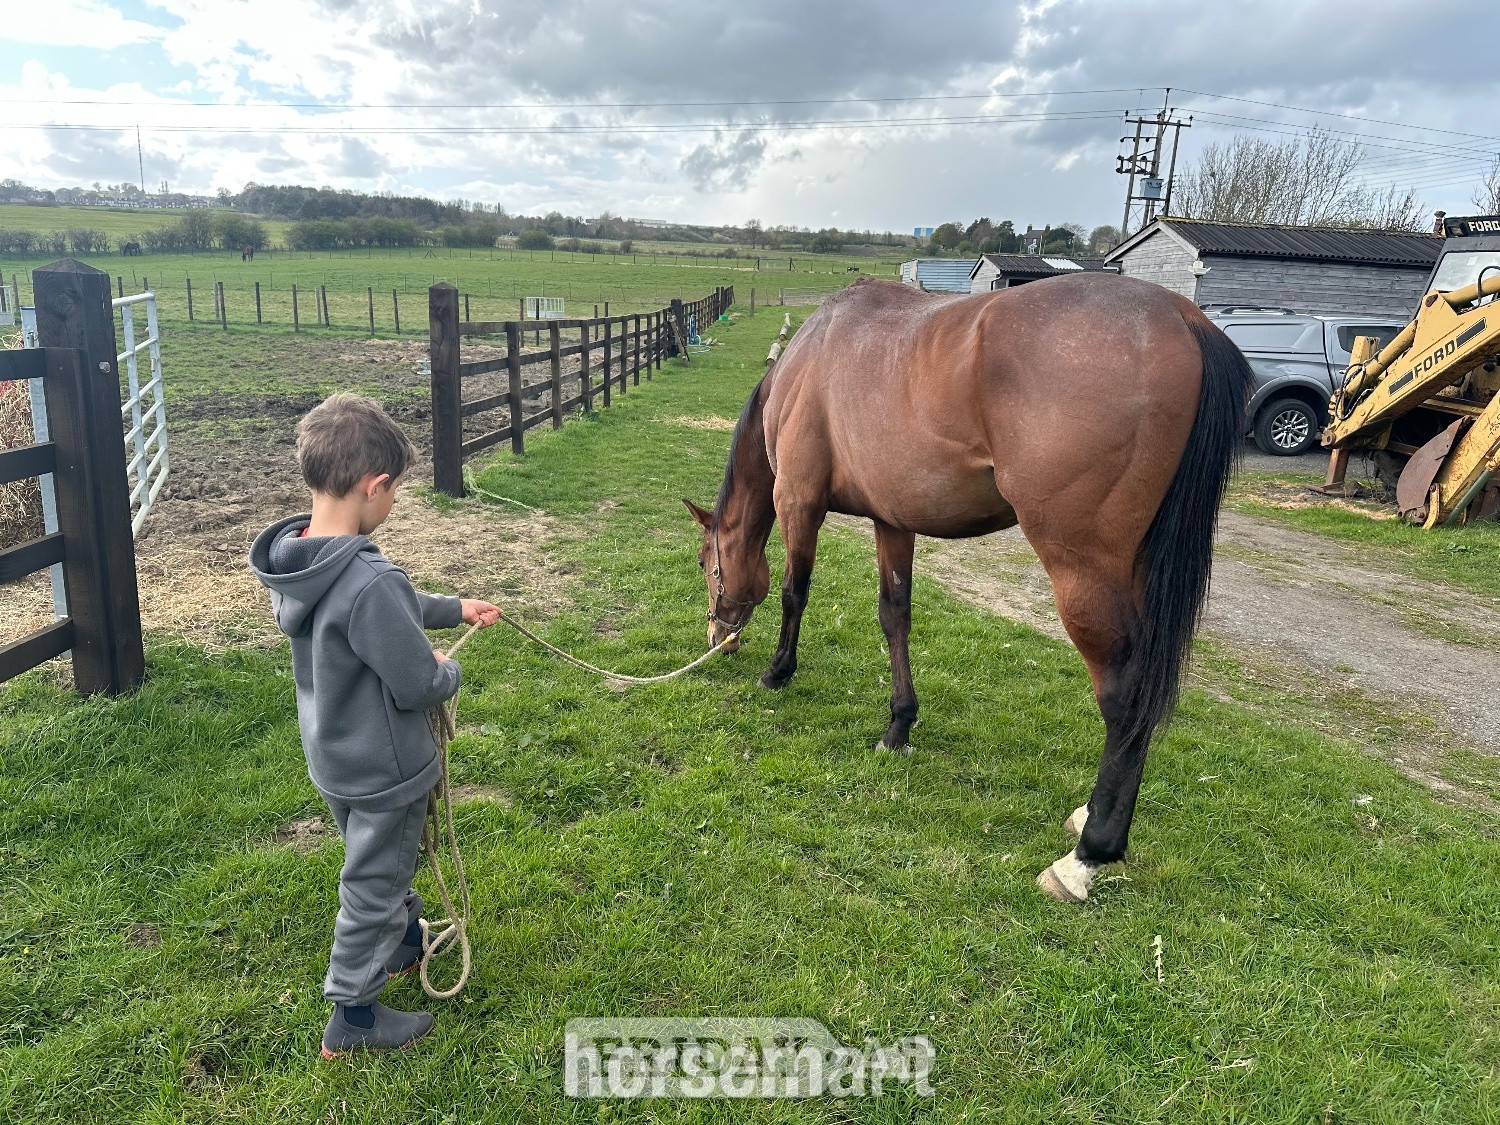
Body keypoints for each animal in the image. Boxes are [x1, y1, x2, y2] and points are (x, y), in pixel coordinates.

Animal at [683, 274, 1249, 903]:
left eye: (707, 563)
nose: (718, 638)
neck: (808, 358)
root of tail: (1180, 316)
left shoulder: (798, 501)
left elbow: (793, 591)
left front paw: (778, 672)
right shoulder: (892, 520)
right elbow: (894, 615)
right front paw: (898, 724)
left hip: (1083, 569)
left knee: (1124, 693)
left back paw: (1087, 856)